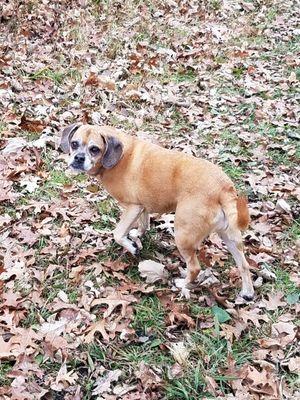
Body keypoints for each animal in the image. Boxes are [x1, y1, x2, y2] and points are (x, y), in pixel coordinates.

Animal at [59, 122, 254, 300]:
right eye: (74, 143)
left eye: (94, 149)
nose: (78, 158)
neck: (119, 156)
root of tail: (223, 187)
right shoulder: (142, 207)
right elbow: (143, 225)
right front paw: (137, 237)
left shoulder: (132, 207)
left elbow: (118, 233)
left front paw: (131, 247)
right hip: (229, 236)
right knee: (244, 265)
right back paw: (248, 293)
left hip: (183, 234)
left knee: (194, 268)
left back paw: (182, 284)